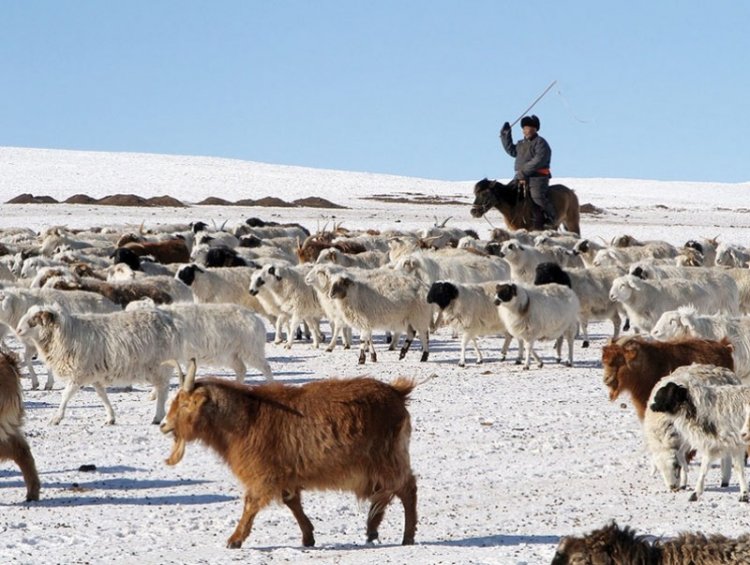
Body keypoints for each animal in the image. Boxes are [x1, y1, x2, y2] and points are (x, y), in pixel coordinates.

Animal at [161, 360, 418, 548]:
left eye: (185, 404)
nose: (163, 424)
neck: (246, 418)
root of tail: (397, 392)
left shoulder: (263, 473)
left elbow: (251, 503)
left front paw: (235, 539)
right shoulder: (286, 473)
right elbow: (291, 502)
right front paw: (308, 537)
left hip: (387, 458)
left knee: (406, 488)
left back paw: (406, 536)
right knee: (386, 492)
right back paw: (372, 528)